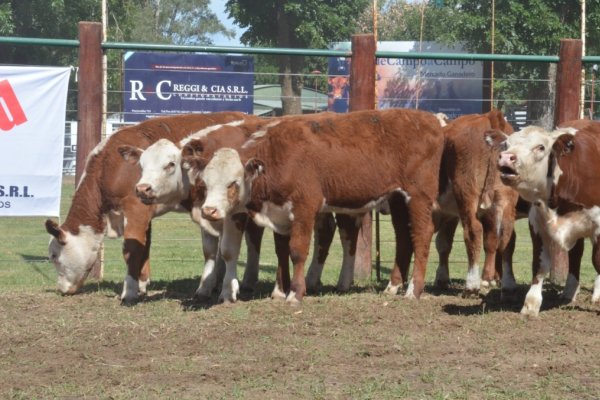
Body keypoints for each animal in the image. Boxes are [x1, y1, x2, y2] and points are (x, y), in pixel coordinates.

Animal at [43, 111, 256, 302]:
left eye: (54, 256)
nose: (61, 289)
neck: (110, 165)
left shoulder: (136, 210)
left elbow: (132, 250)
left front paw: (129, 291)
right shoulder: (143, 212)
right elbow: (144, 246)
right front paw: (142, 285)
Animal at [197, 108, 446, 302]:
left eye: (233, 183)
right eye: (205, 183)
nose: (209, 211)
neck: (278, 156)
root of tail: (431, 119)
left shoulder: (304, 208)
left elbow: (297, 251)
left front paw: (295, 294)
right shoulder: (279, 213)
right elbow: (281, 251)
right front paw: (280, 291)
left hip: (418, 196)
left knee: (422, 234)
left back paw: (413, 290)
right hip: (397, 199)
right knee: (403, 237)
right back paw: (392, 287)